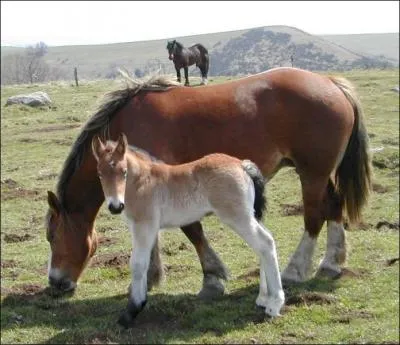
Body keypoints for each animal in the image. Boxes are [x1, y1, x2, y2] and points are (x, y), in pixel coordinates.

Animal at [44, 67, 372, 300]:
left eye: (52, 236)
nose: (55, 283)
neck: (127, 127)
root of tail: (330, 82)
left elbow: (193, 231)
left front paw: (212, 279)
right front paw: (149, 278)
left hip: (311, 174)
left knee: (314, 216)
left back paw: (295, 269)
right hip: (319, 173)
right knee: (334, 205)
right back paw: (331, 263)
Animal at [92, 132, 284, 328]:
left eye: (124, 172)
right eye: (100, 173)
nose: (115, 206)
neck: (142, 182)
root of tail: (242, 165)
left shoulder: (144, 225)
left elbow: (138, 264)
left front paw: (131, 312)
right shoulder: (143, 227)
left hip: (238, 217)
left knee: (265, 243)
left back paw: (274, 305)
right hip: (249, 216)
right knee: (264, 243)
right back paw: (263, 299)